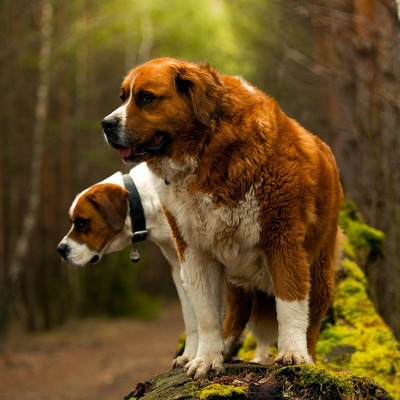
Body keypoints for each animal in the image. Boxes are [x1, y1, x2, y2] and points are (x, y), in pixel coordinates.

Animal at [101, 57, 342, 378]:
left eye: (146, 97)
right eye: (123, 97)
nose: (106, 124)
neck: (207, 150)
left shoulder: (283, 240)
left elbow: (290, 304)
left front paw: (293, 354)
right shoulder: (194, 249)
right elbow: (205, 314)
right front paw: (206, 358)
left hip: (320, 267)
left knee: (312, 318)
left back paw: (308, 356)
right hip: (236, 268)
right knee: (236, 313)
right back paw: (225, 347)